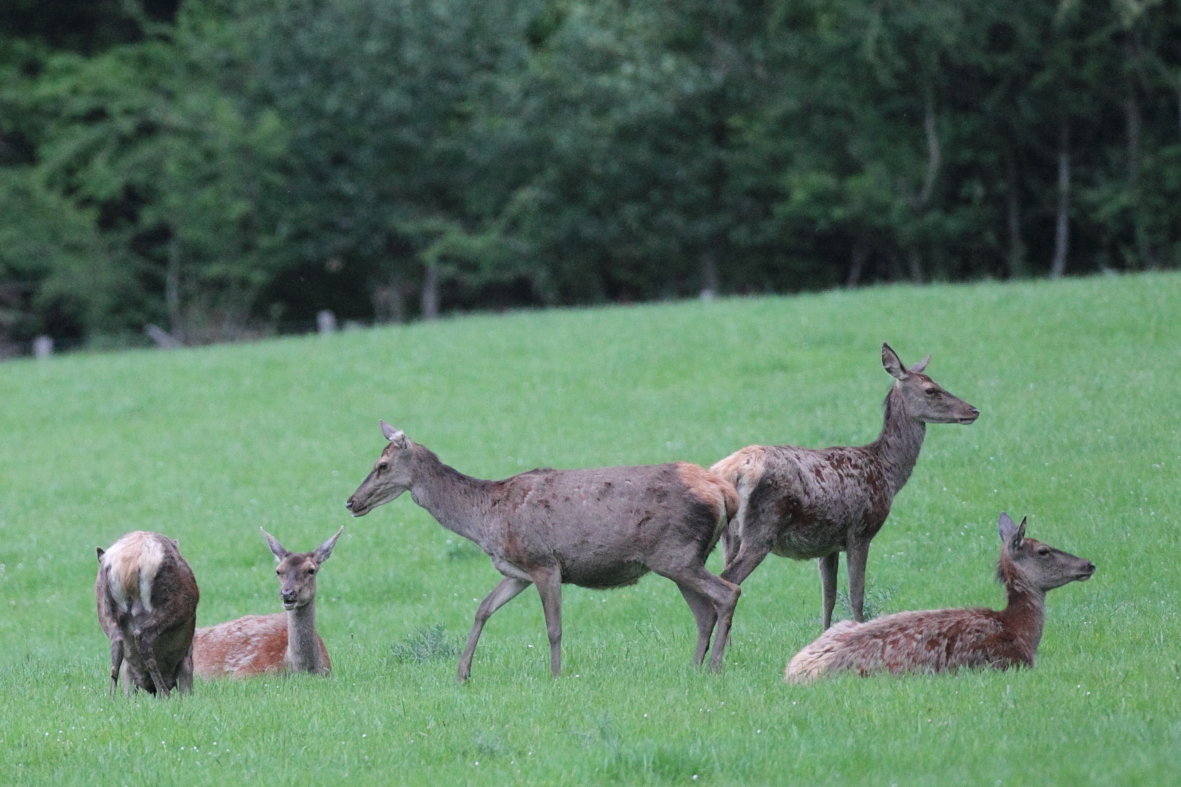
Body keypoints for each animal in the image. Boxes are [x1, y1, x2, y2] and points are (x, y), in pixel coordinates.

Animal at [95, 531, 200, 698]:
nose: (151, 689)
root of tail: (129, 563)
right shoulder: (186, 660)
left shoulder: (128, 671)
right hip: (171, 606)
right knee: (142, 636)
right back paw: (165, 693)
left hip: (104, 608)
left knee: (117, 642)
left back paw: (111, 697)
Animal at [345, 421, 742, 682]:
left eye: (381, 465)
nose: (351, 502)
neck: (485, 520)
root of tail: (725, 492)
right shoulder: (517, 572)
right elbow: (482, 609)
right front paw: (462, 673)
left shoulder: (544, 563)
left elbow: (554, 627)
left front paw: (554, 676)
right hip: (680, 559)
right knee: (704, 612)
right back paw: (694, 668)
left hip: (676, 554)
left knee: (729, 592)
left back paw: (715, 666)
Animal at [711, 343, 979, 631]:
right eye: (931, 390)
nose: (973, 410)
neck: (886, 472)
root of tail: (731, 472)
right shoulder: (861, 531)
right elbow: (855, 596)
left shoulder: (827, 544)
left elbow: (828, 598)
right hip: (762, 527)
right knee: (727, 582)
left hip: (730, 537)